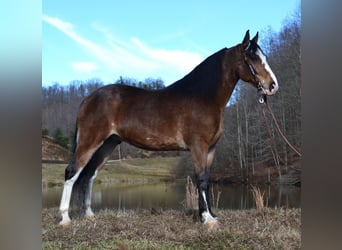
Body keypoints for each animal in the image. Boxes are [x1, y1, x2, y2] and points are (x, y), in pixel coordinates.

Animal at [58, 30, 278, 228]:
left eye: (264, 57)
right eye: (252, 58)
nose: (273, 86)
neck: (203, 97)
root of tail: (87, 99)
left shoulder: (211, 149)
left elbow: (207, 179)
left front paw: (209, 215)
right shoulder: (198, 147)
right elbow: (201, 179)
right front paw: (207, 219)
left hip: (107, 145)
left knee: (89, 175)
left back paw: (89, 214)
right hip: (90, 142)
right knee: (72, 172)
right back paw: (65, 218)